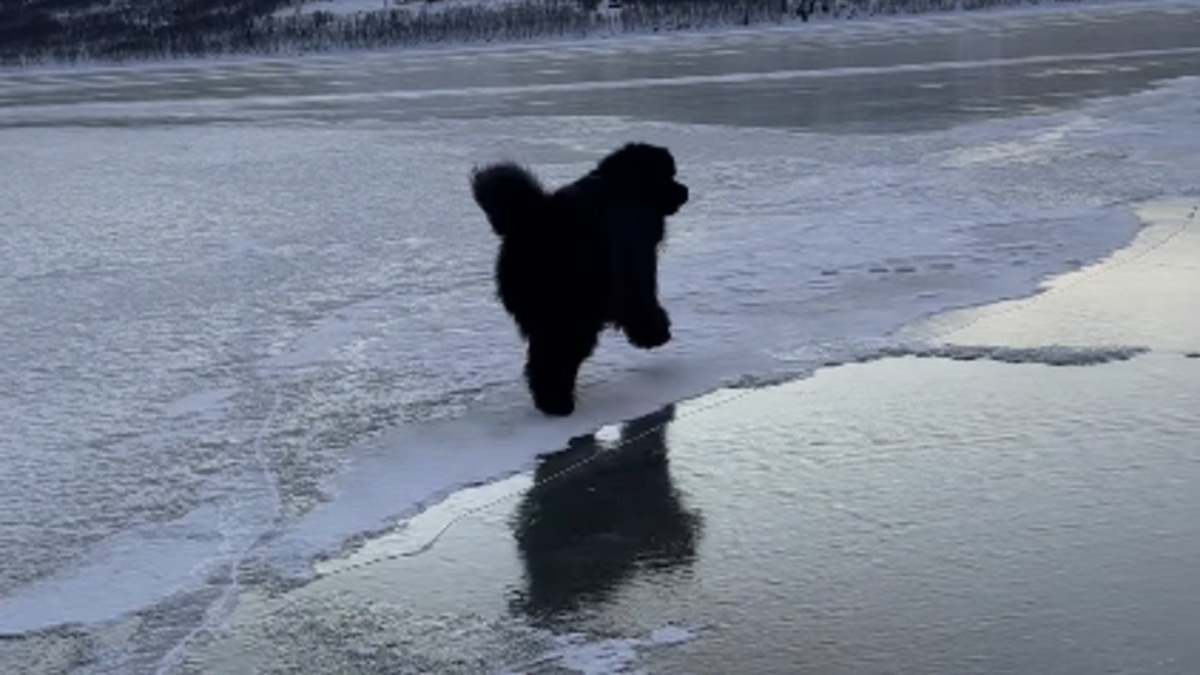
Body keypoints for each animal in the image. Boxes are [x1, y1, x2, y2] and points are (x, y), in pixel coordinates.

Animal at [470, 142, 696, 415]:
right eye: (668, 176)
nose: (685, 190)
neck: (628, 186)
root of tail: (535, 221)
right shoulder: (635, 264)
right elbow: (642, 303)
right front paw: (655, 334)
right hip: (574, 311)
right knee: (556, 358)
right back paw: (558, 403)